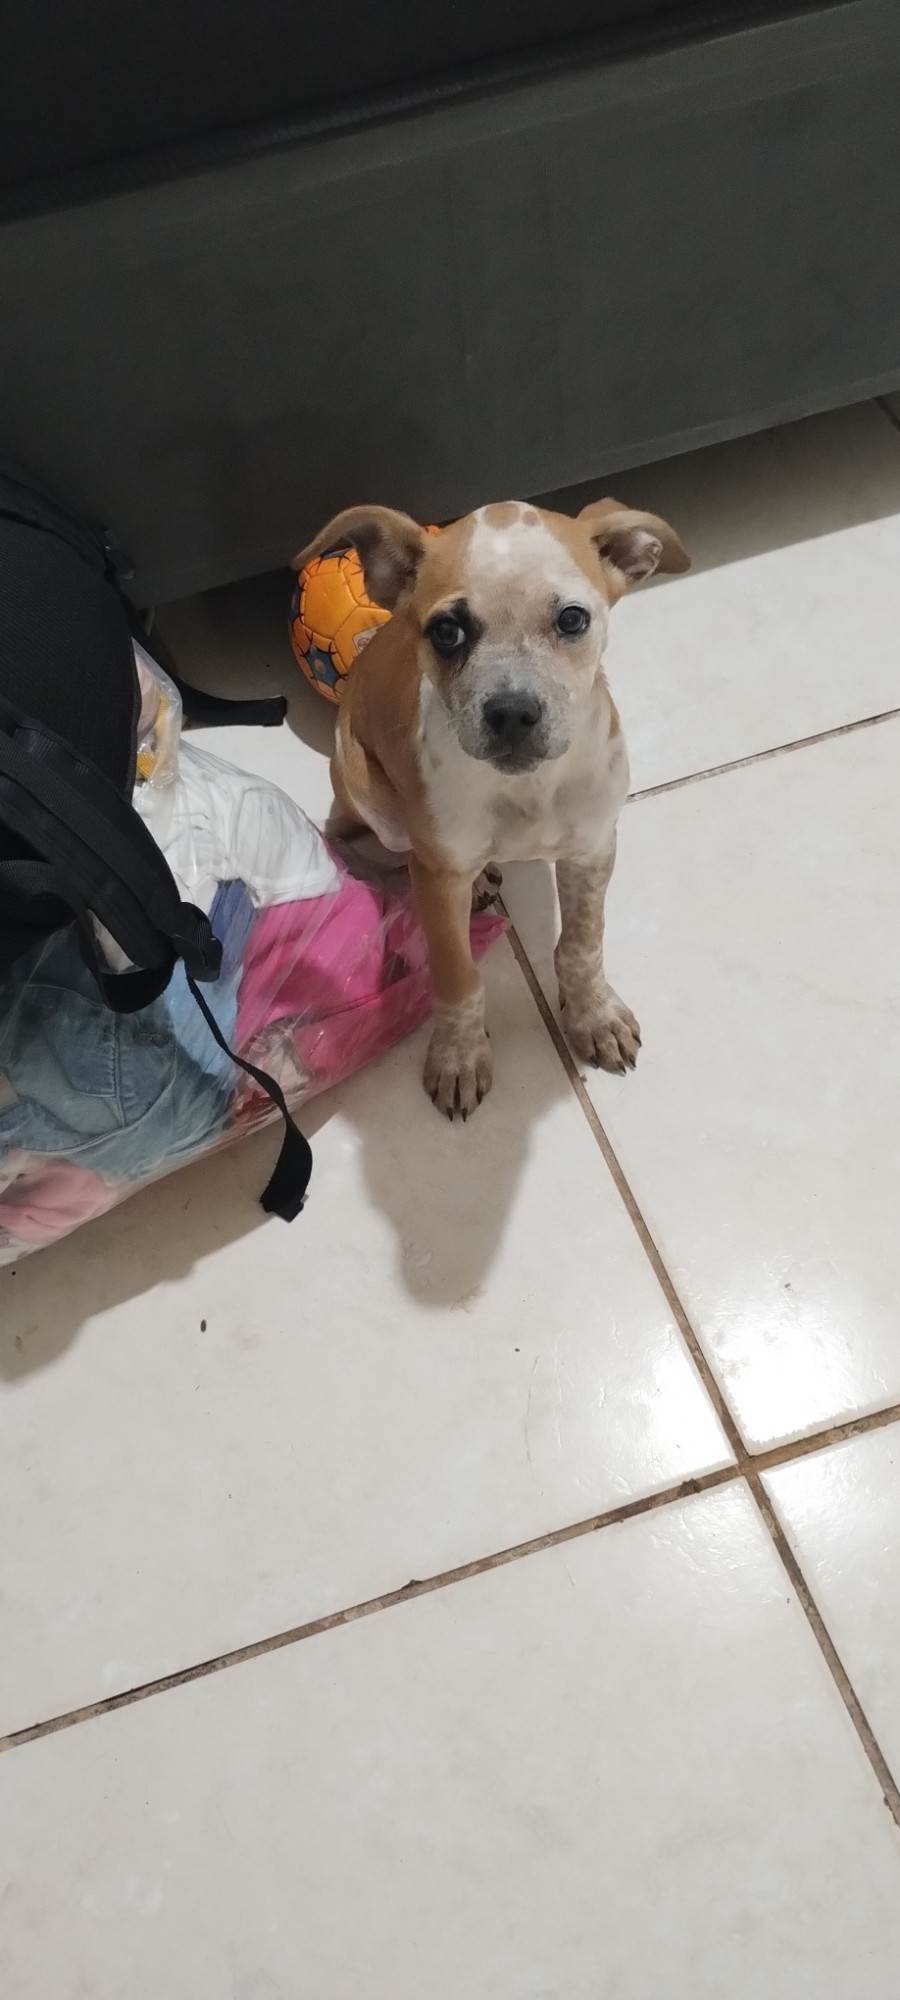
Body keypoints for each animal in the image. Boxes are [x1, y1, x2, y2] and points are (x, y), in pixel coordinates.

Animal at [292, 498, 690, 1117]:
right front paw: (459, 1055)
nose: (512, 714)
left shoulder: (593, 848)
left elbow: (583, 943)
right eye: (447, 630)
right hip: (371, 801)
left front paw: (593, 1015)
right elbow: (457, 976)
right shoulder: (438, 876)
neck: (527, 790)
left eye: (572, 619)